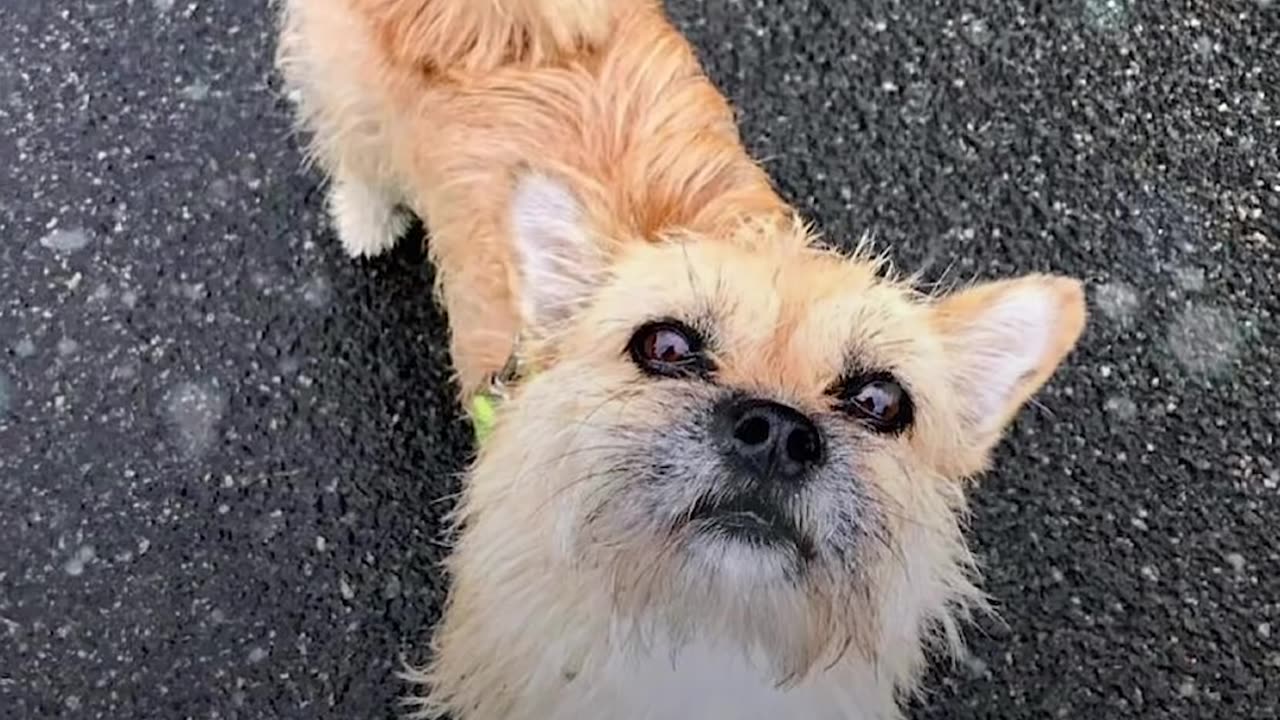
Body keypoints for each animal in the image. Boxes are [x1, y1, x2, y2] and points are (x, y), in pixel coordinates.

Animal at [275, 2, 1085, 712]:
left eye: (880, 401)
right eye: (664, 346)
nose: (778, 432)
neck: (700, 629)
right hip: (350, 104)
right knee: (354, 157)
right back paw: (366, 219)